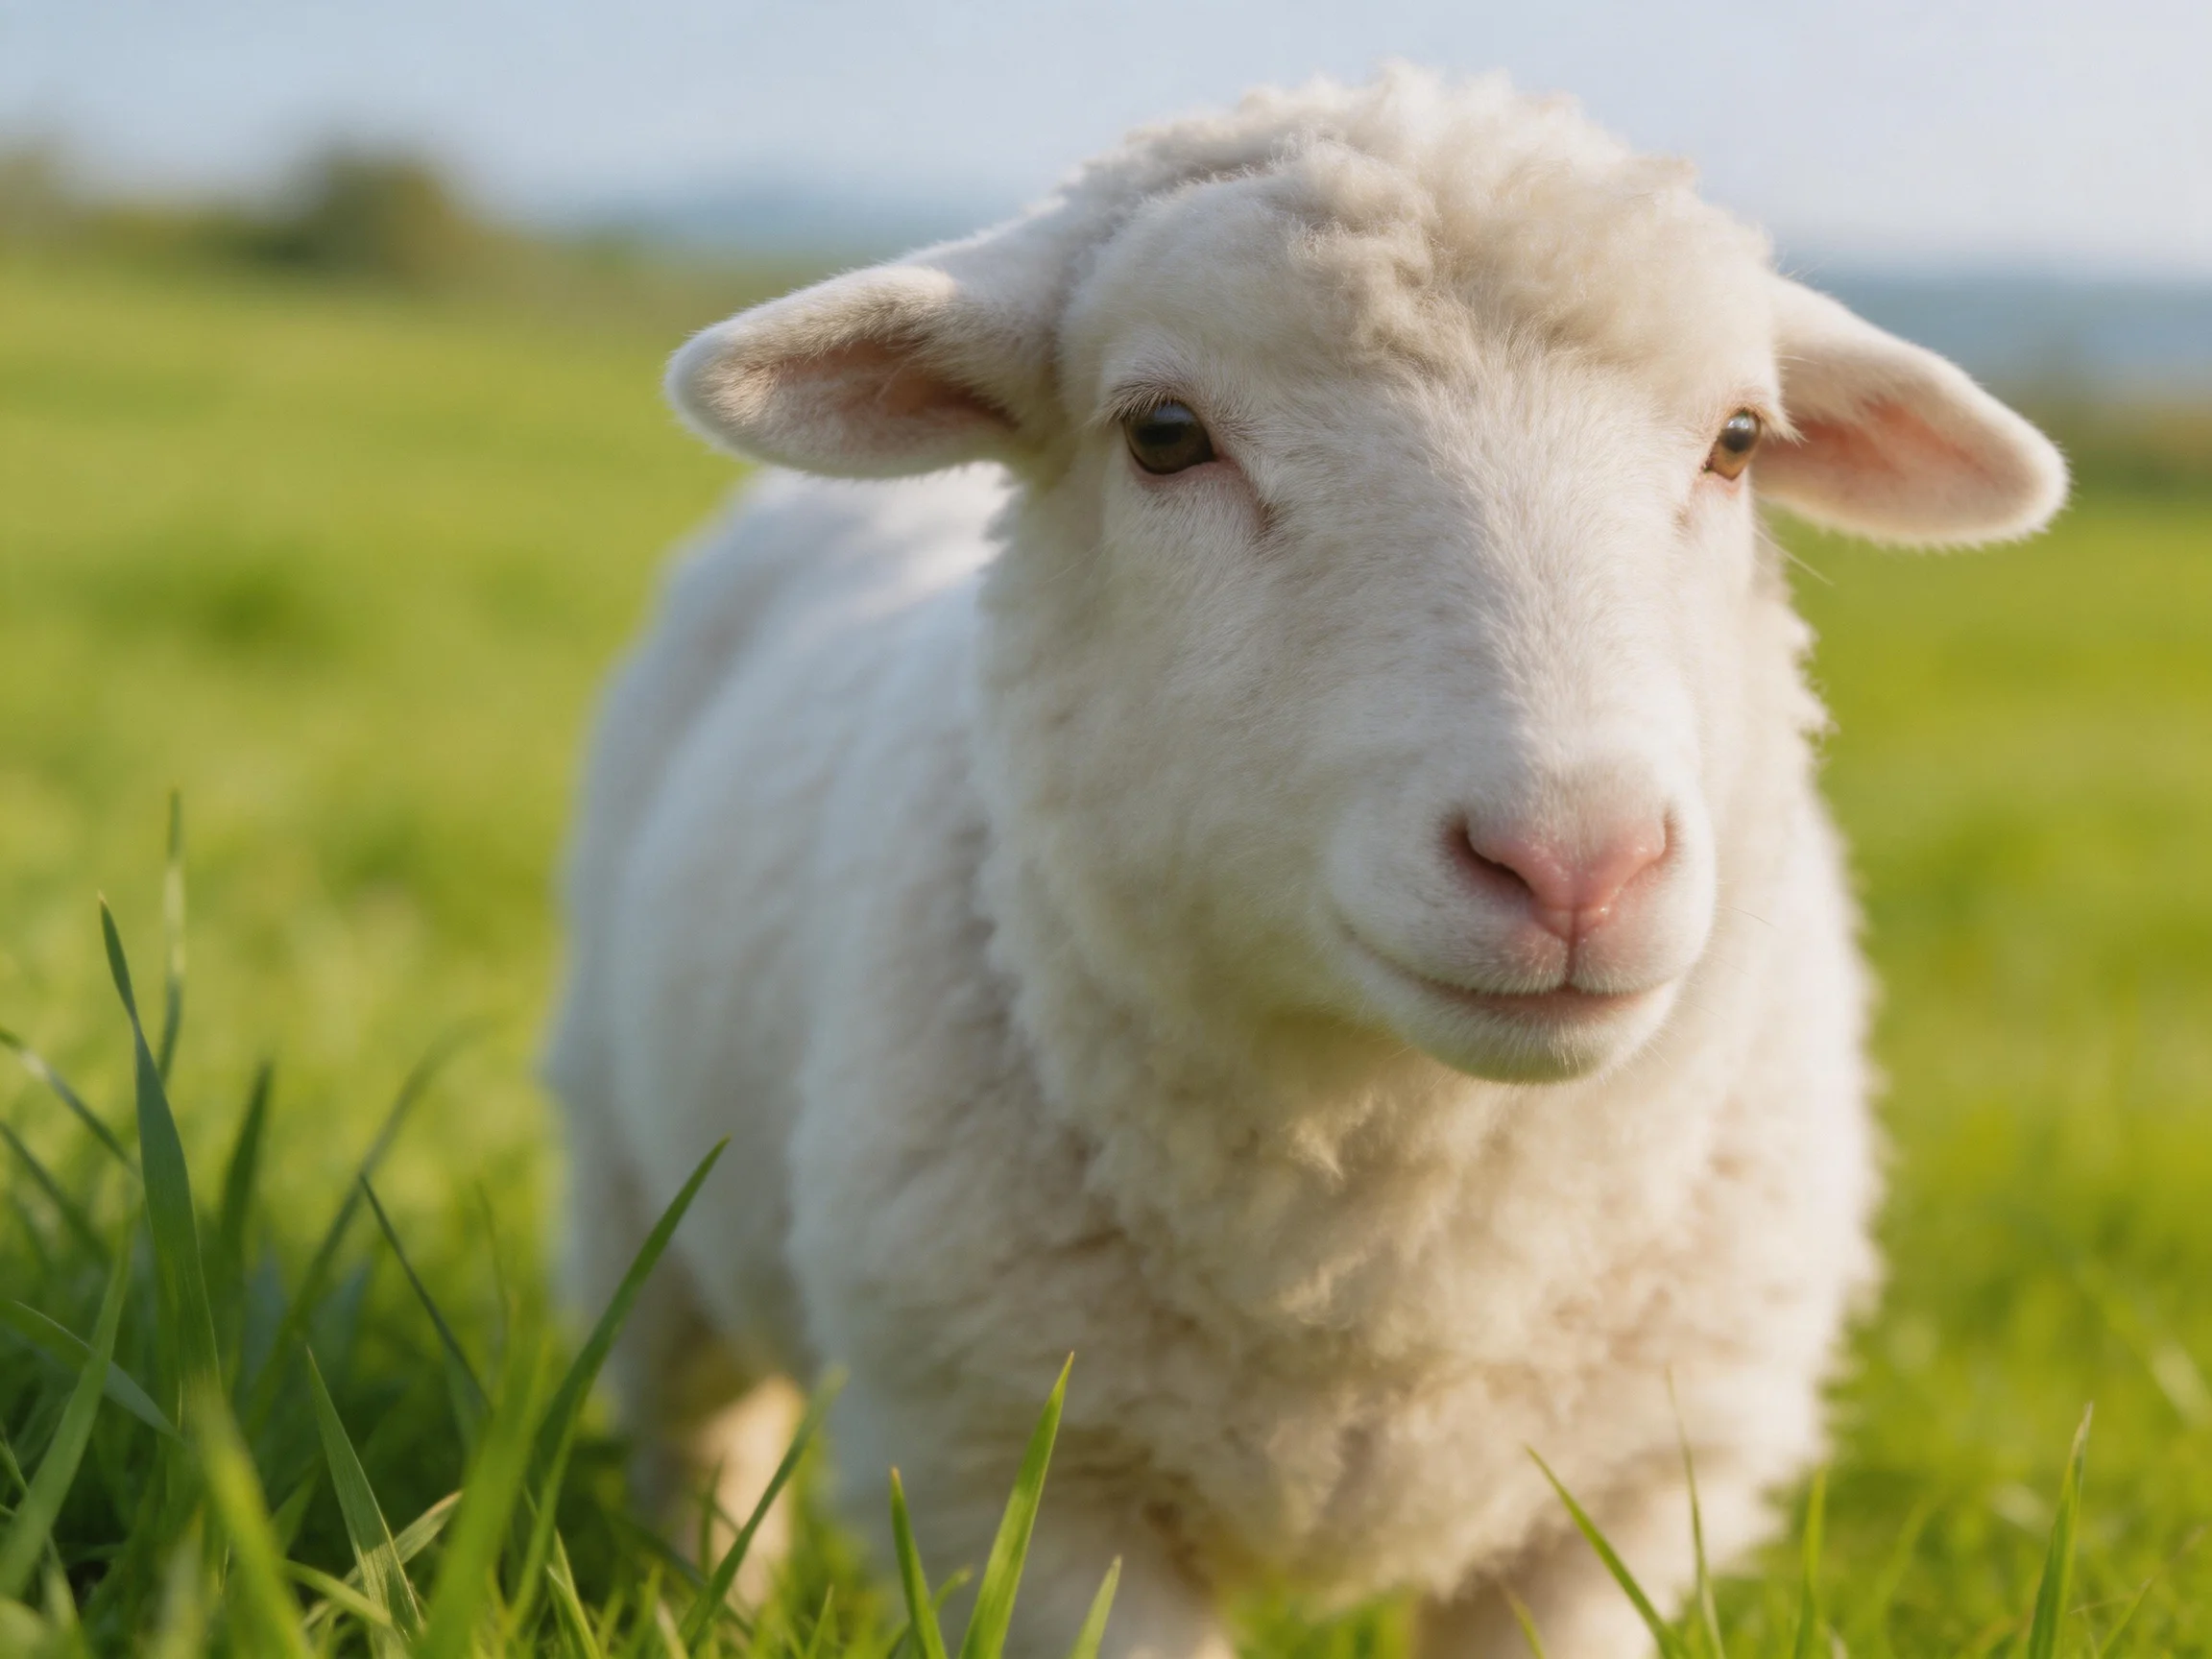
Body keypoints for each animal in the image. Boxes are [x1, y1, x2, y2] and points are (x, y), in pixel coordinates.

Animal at [544, 67, 2067, 1659]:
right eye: (1163, 432)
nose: (1573, 864)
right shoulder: (1019, 1475)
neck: (1388, 1251)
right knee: (700, 1437)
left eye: (1740, 440)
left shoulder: (1623, 1500)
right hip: (633, 1182)